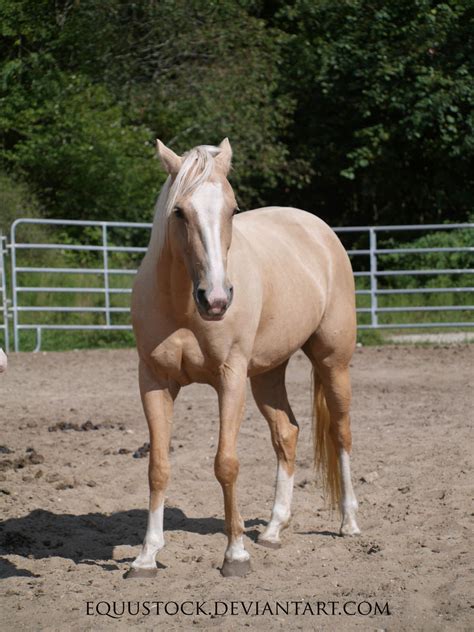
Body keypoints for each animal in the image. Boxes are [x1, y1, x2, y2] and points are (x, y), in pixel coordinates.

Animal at [130, 139, 360, 576]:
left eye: (233, 209)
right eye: (179, 211)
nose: (217, 300)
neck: (182, 305)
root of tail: (318, 231)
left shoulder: (230, 378)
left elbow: (226, 463)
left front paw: (235, 553)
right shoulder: (153, 382)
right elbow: (157, 467)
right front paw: (147, 555)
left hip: (333, 362)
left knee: (341, 434)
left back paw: (349, 523)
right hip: (267, 374)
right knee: (287, 433)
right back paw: (272, 529)